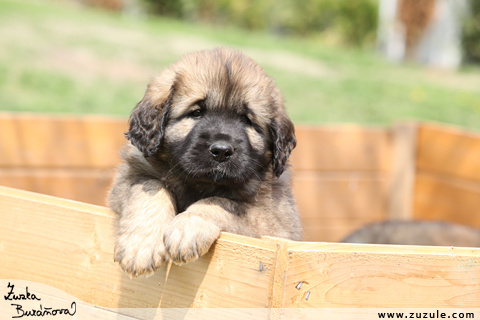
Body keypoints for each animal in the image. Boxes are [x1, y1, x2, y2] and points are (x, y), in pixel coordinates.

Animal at [109, 47, 304, 278]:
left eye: (246, 120)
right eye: (196, 113)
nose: (221, 151)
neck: (199, 183)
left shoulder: (274, 222)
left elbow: (222, 202)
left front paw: (188, 226)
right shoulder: (129, 177)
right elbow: (149, 188)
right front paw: (141, 248)